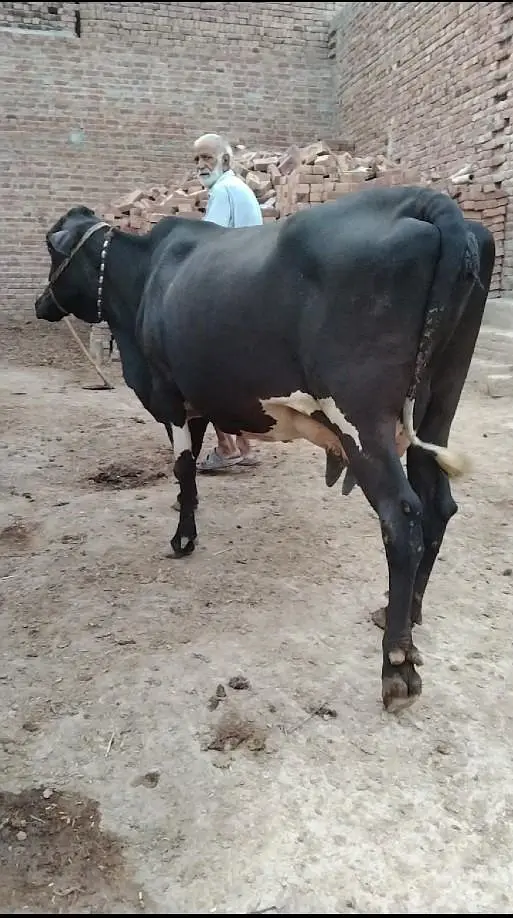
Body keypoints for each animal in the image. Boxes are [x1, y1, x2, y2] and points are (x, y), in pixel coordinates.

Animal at [34, 185, 495, 712]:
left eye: (52, 249)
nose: (40, 303)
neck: (144, 278)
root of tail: (423, 199)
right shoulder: (198, 401)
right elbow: (190, 469)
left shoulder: (168, 393)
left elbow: (182, 466)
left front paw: (182, 539)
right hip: (438, 405)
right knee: (439, 506)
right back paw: (405, 615)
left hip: (361, 415)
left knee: (402, 519)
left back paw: (397, 665)